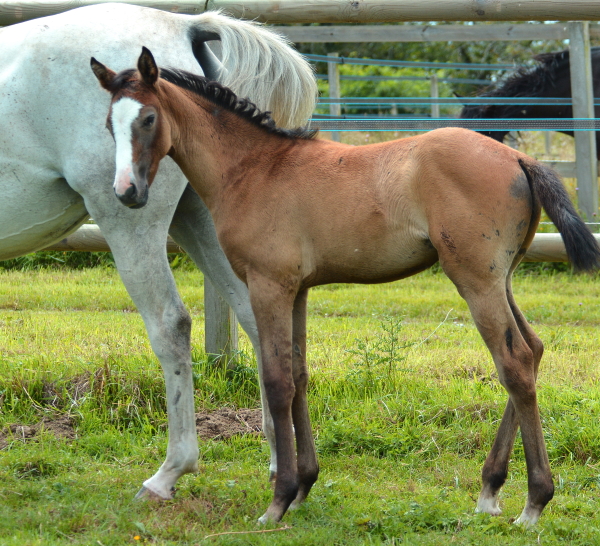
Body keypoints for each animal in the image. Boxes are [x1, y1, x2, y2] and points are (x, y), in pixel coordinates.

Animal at [0, 3, 317, 500]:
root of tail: (181, 24)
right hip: (200, 219)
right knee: (256, 319)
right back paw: (276, 461)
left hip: (131, 223)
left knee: (171, 324)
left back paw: (170, 471)